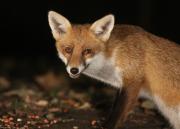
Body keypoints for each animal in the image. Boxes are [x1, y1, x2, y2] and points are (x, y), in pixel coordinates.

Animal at [47, 11, 180, 129]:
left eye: (87, 51)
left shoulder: (132, 81)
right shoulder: (121, 86)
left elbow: (118, 114)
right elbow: (113, 110)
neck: (114, 55)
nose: (73, 70)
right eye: (68, 50)